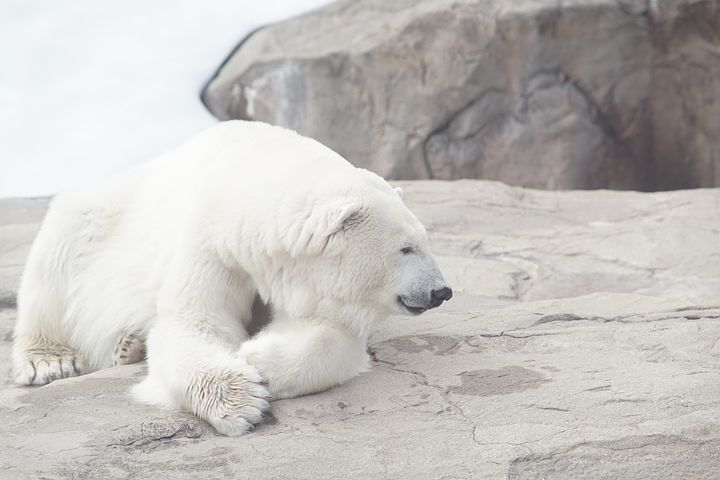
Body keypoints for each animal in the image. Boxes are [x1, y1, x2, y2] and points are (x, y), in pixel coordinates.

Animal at [11, 120, 450, 436]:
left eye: (425, 240)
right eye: (406, 248)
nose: (441, 291)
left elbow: (331, 333)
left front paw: (258, 358)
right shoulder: (214, 242)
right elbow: (194, 322)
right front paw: (241, 400)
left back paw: (129, 346)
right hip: (98, 218)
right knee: (56, 258)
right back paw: (50, 361)